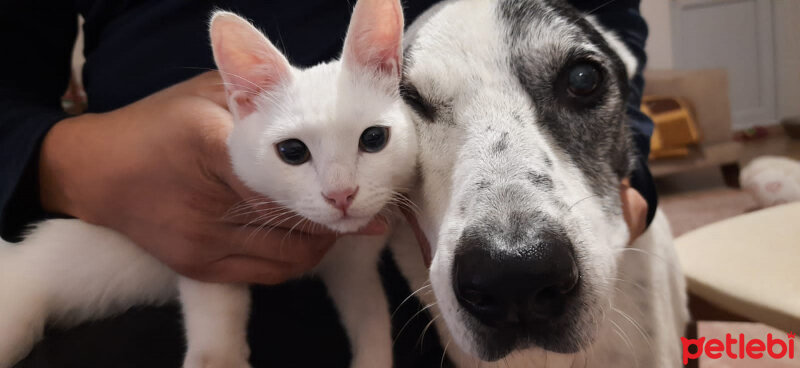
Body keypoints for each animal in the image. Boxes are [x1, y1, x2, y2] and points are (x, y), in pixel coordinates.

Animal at [0, 0, 412, 368]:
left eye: (373, 138)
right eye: (292, 151)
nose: (341, 195)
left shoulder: (354, 264)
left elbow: (370, 315)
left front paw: (374, 357)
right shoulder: (205, 254)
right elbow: (215, 321)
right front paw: (220, 358)